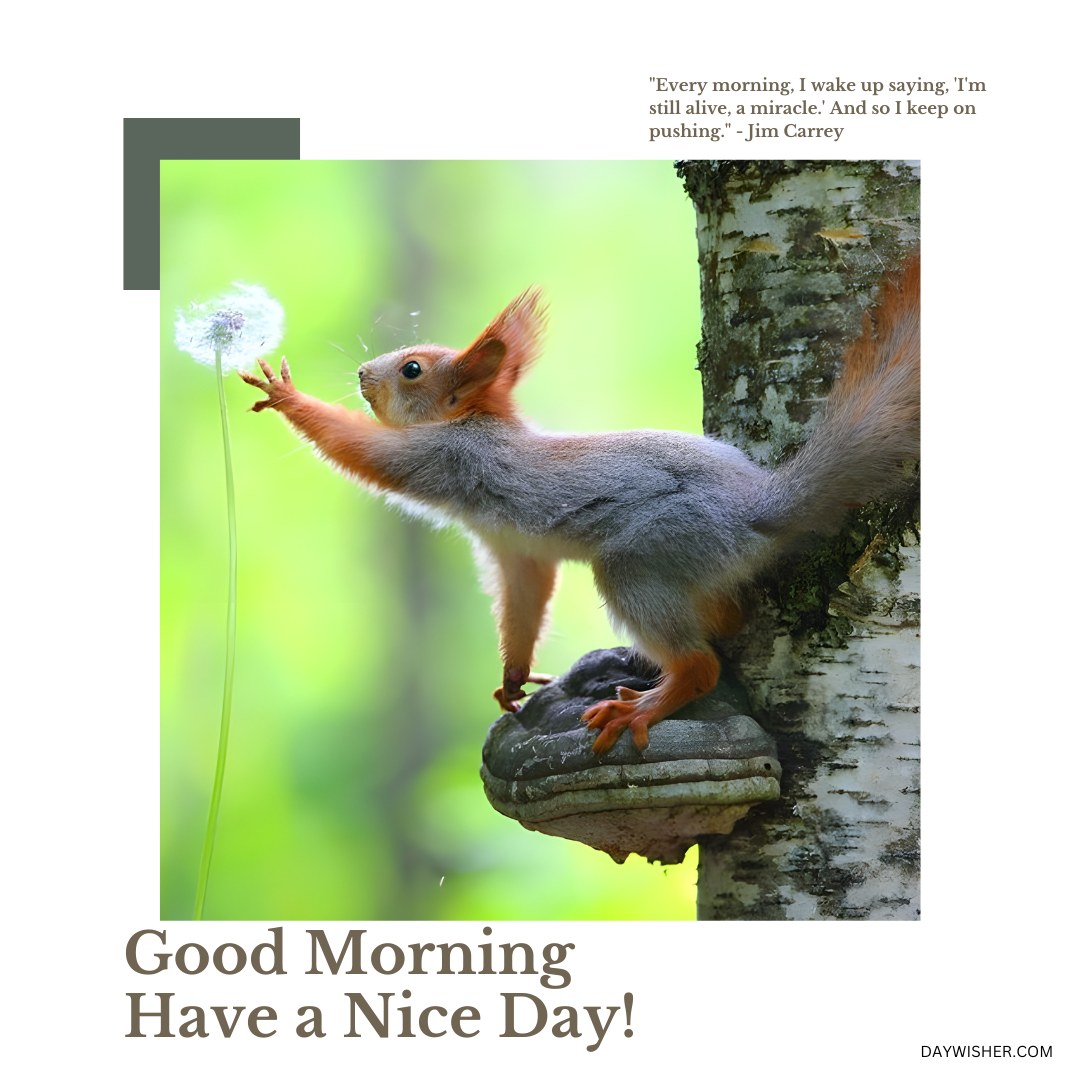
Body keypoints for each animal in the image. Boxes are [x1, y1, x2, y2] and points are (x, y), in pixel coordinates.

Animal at [243, 259, 920, 751]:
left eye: (411, 370)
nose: (362, 373)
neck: (477, 421)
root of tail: (764, 504)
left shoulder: (445, 457)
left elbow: (362, 450)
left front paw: (288, 396)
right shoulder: (515, 552)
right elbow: (524, 603)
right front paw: (512, 679)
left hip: (650, 552)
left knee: (697, 663)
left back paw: (645, 706)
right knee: (726, 614)